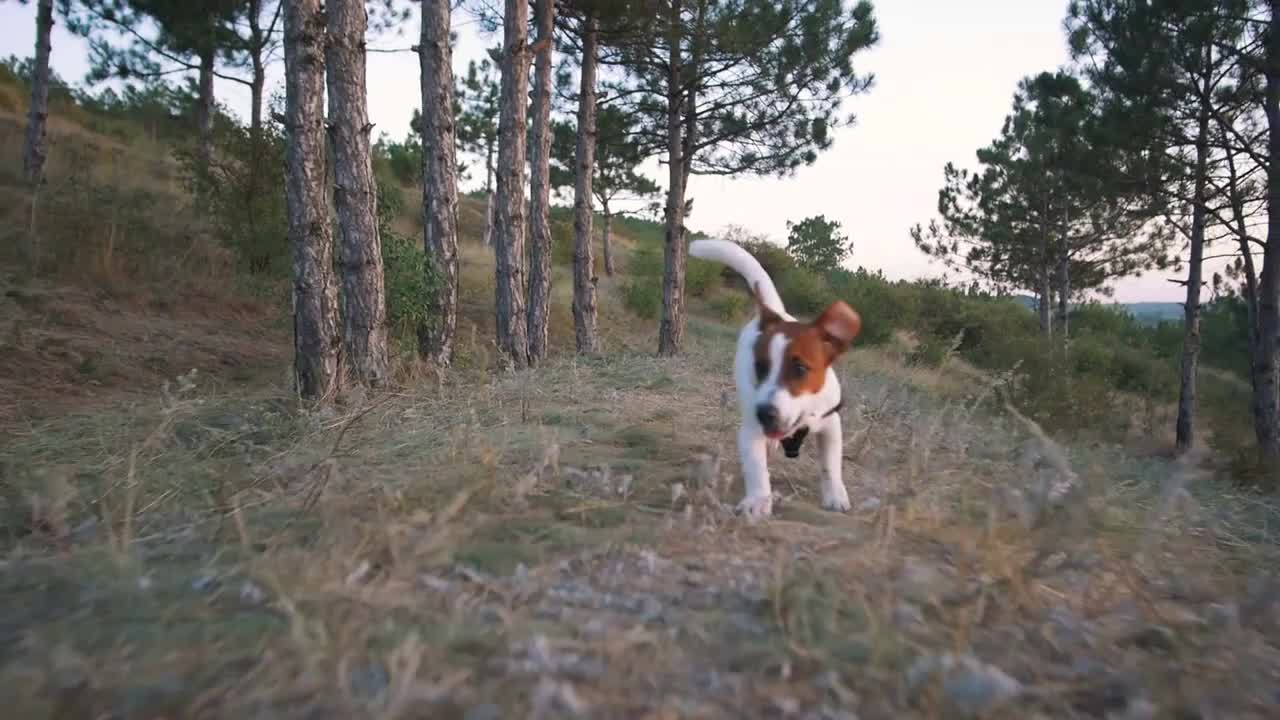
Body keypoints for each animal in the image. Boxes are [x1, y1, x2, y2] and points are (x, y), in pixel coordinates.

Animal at [691, 238, 860, 517]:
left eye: (800, 369)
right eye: (760, 368)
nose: (764, 413)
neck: (801, 418)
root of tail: (775, 314)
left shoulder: (831, 425)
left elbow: (831, 465)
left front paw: (835, 494)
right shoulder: (751, 431)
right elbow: (757, 469)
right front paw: (758, 500)